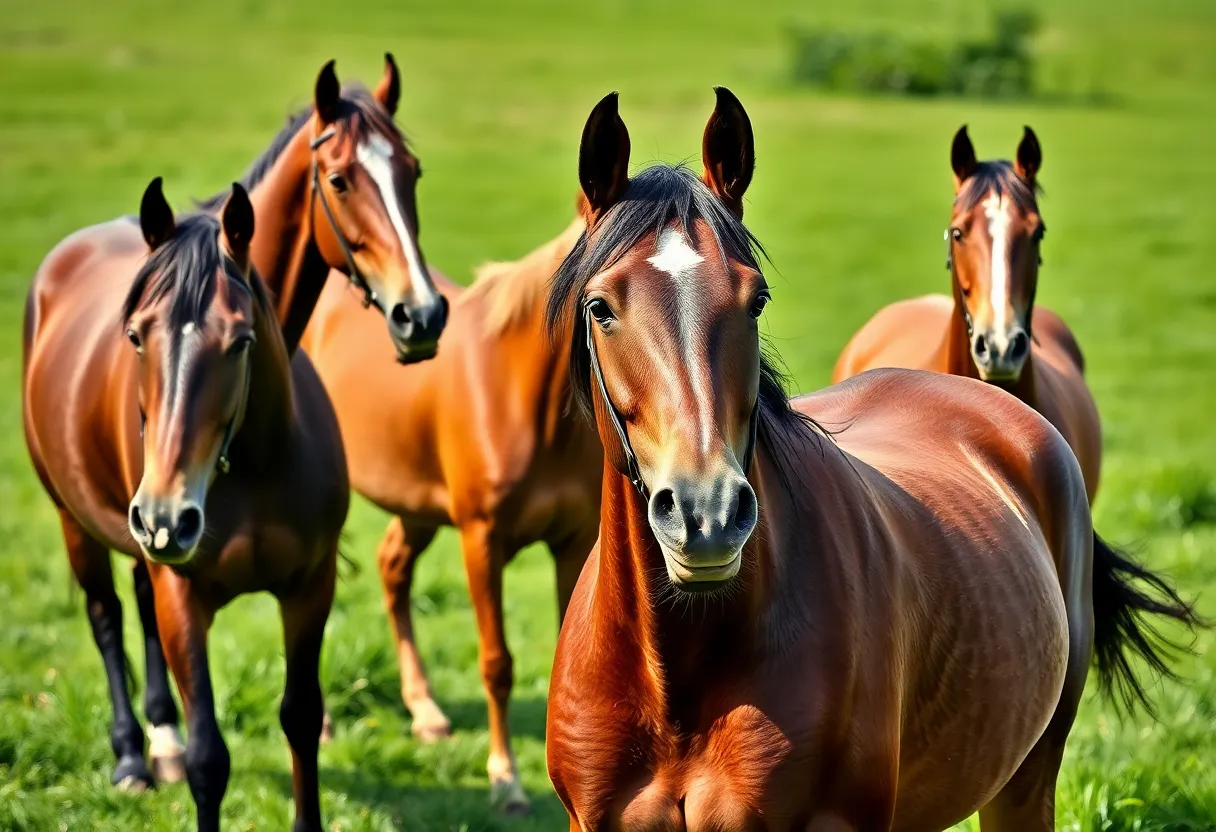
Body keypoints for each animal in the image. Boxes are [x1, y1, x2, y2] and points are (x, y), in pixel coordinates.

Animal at [22, 181, 348, 832]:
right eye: (135, 336)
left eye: (241, 341)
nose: (165, 518)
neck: (252, 468)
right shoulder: (183, 595)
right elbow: (208, 758)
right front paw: (176, 753)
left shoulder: (311, 586)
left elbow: (301, 718)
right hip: (77, 523)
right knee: (106, 616)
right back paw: (130, 758)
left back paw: (160, 739)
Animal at [299, 204, 601, 813]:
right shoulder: (480, 539)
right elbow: (497, 663)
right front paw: (506, 780)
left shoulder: (573, 541)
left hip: (417, 507)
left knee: (392, 567)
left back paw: (426, 712)